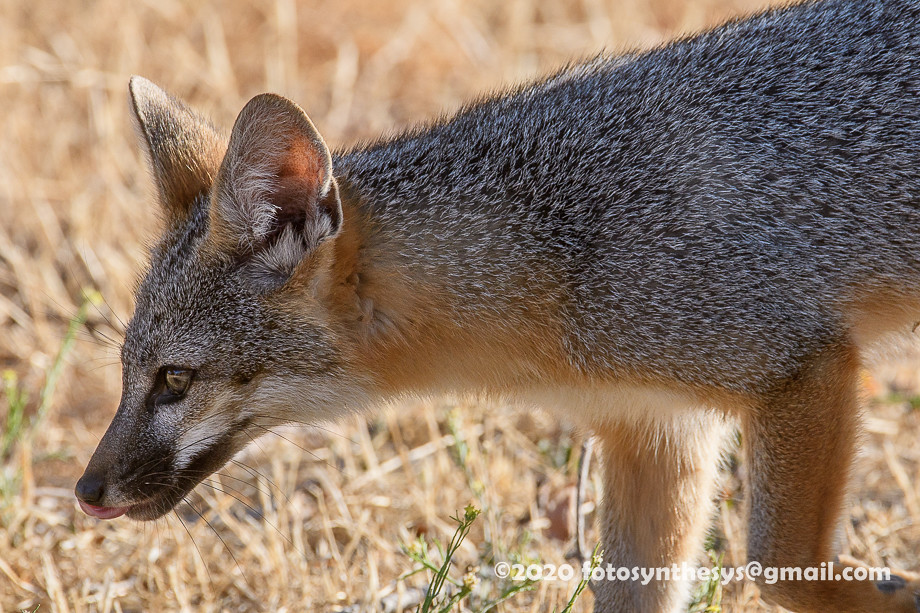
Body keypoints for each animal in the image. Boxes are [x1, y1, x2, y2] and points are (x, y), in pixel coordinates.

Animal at [74, 0, 920, 610]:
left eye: (175, 379)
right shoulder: (657, 425)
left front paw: (895, 590)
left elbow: (778, 567)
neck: (556, 238)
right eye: (127, 372)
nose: (84, 491)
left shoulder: (801, 366)